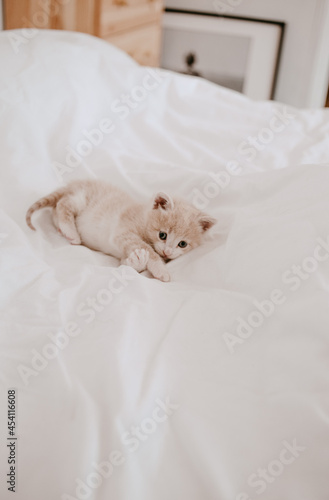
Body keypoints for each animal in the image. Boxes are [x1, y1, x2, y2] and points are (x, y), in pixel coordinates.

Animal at [26, 180, 215, 282]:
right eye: (162, 235)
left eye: (182, 244)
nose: (167, 252)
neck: (144, 216)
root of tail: (74, 183)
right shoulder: (123, 233)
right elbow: (147, 249)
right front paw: (161, 270)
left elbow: (126, 265)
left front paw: (137, 262)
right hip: (80, 198)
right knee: (62, 204)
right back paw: (70, 231)